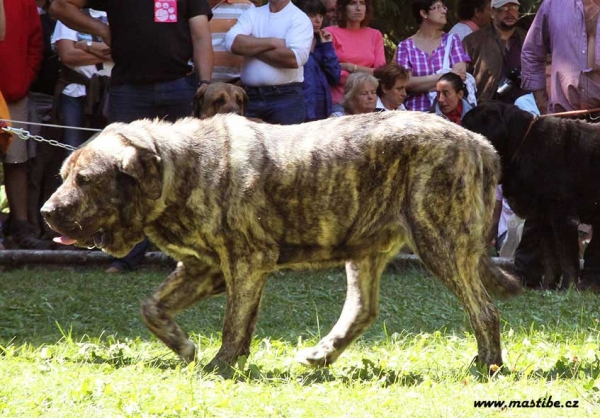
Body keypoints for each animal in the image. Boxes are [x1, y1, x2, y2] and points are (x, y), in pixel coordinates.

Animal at [41, 110, 520, 372]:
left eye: (86, 180)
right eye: (63, 176)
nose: (46, 212)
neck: (178, 170)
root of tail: (480, 143)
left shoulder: (246, 262)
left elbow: (234, 323)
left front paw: (221, 366)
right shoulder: (204, 268)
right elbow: (152, 308)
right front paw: (184, 346)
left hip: (440, 241)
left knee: (484, 310)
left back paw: (487, 365)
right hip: (364, 248)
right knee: (362, 309)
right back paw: (321, 356)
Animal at [464, 102, 600, 290]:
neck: (521, 144)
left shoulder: (563, 217)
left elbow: (567, 259)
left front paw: (568, 287)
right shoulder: (545, 218)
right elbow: (550, 258)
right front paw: (549, 287)